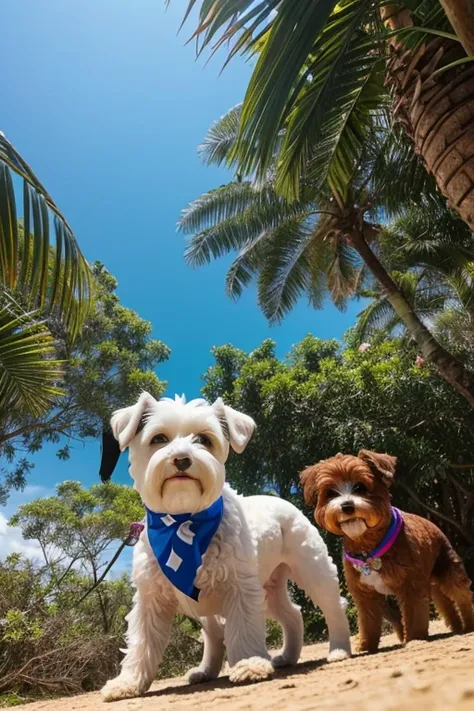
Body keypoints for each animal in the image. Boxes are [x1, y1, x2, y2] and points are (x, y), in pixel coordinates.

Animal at [100, 392, 352, 704]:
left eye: (204, 439)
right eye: (159, 438)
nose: (181, 459)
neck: (183, 521)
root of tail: (280, 500)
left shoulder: (239, 587)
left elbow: (242, 628)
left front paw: (249, 664)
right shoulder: (150, 600)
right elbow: (141, 643)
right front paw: (128, 683)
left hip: (312, 571)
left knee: (333, 606)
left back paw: (339, 650)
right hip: (266, 591)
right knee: (289, 615)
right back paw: (272, 659)